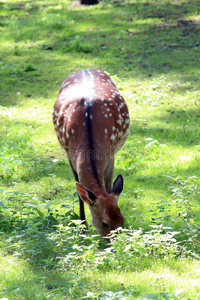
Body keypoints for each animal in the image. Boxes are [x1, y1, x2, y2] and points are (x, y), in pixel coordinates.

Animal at [52, 69, 130, 240]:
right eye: (104, 223)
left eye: (123, 219)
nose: (115, 244)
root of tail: (85, 69)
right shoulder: (69, 153)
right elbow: (79, 193)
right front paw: (83, 227)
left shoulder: (111, 152)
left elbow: (108, 187)